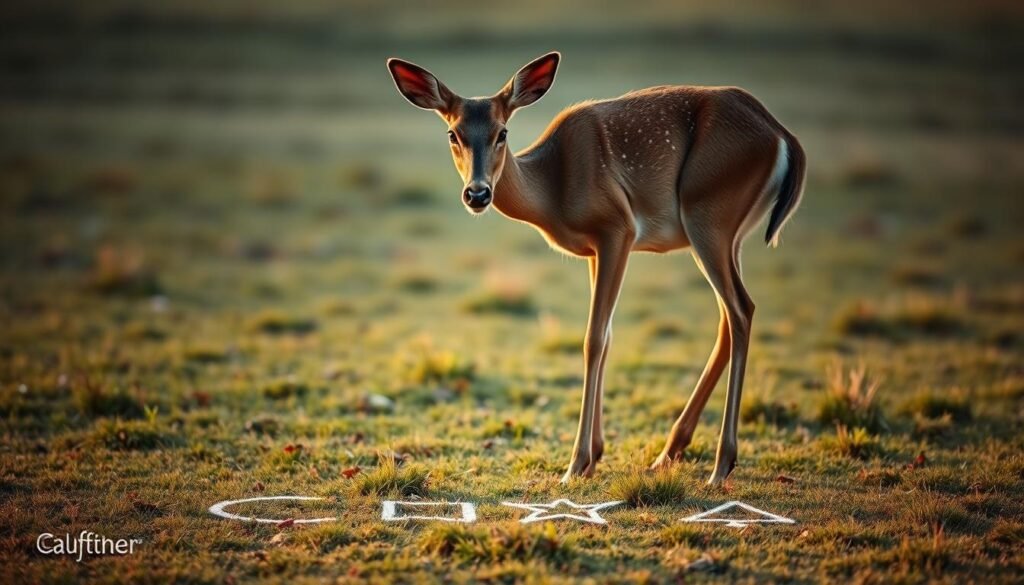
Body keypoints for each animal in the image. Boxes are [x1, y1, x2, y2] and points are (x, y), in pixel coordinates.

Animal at [386, 51, 806, 486]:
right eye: (453, 134)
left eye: (502, 132)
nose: (477, 193)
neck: (553, 188)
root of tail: (782, 135)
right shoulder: (593, 251)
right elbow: (608, 335)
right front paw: (594, 456)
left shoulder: (617, 229)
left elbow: (593, 338)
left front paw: (575, 464)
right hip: (730, 235)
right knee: (729, 317)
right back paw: (668, 453)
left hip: (708, 216)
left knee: (740, 309)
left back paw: (721, 465)